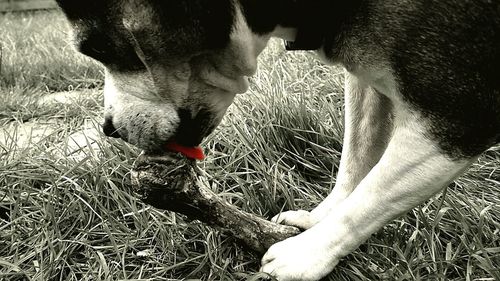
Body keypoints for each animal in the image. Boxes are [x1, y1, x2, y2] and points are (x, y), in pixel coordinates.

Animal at [56, 0, 498, 278]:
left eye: (97, 47)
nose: (108, 128)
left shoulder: (454, 120)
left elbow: (372, 197)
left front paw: (307, 253)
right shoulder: (368, 84)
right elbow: (356, 163)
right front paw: (316, 222)